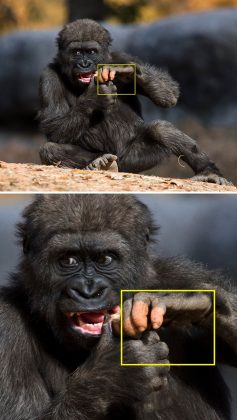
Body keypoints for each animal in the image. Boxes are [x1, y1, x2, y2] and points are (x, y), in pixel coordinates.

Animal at [0, 194, 237, 420]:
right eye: (68, 260)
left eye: (105, 259)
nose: (89, 290)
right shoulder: (5, 323)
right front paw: (112, 372)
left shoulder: (181, 273)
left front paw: (186, 297)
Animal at [38, 18, 230, 185]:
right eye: (76, 52)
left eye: (91, 52)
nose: (84, 64)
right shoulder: (48, 77)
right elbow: (54, 126)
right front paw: (94, 96)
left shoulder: (121, 56)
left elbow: (169, 95)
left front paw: (127, 71)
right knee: (49, 149)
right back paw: (99, 161)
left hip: (134, 161)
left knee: (161, 129)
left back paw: (208, 171)